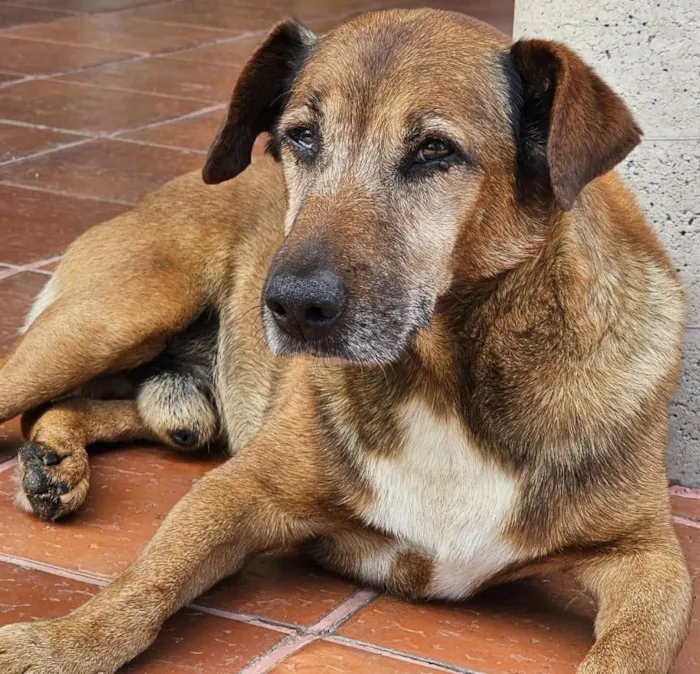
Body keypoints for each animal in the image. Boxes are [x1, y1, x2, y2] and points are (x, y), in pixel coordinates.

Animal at [0, 10, 692, 672]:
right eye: (301, 136)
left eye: (434, 150)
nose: (289, 306)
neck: (444, 377)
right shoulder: (234, 491)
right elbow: (142, 584)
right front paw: (60, 643)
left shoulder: (650, 559)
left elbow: (630, 651)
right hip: (112, 321)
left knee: (93, 409)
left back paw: (55, 458)